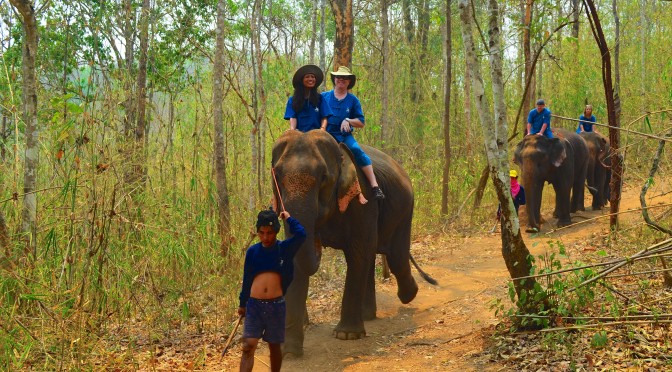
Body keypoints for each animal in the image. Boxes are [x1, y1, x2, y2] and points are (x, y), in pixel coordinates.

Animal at [268, 129, 430, 356]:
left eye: (324, 178)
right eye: (277, 177)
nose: (318, 242)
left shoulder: (363, 198)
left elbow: (358, 251)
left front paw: (347, 335)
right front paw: (288, 351)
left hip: (404, 209)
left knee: (394, 256)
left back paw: (409, 294)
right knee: (375, 256)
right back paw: (368, 314)